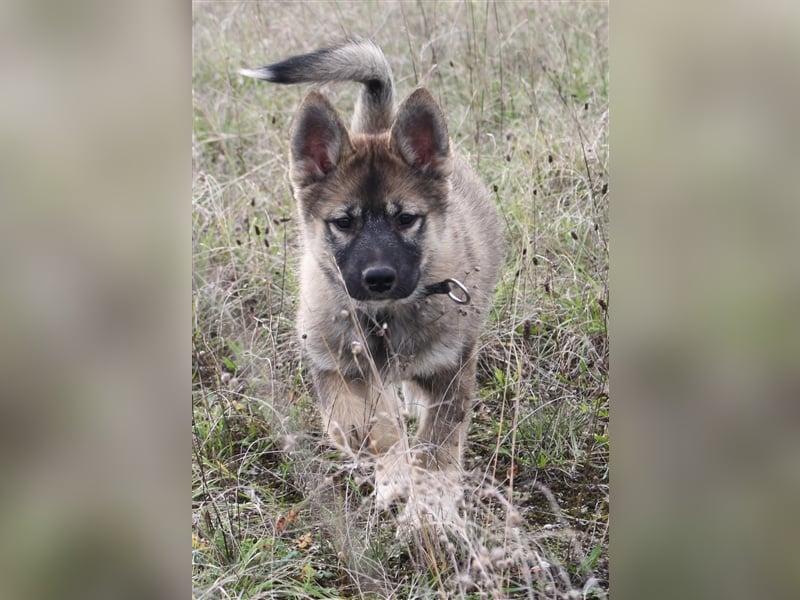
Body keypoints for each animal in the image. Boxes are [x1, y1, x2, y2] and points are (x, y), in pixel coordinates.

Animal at [244, 38, 504, 506]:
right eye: (344, 222)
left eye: (406, 219)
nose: (379, 278)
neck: (383, 317)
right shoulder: (333, 365)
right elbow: (363, 424)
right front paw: (393, 469)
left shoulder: (453, 367)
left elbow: (440, 439)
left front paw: (433, 498)